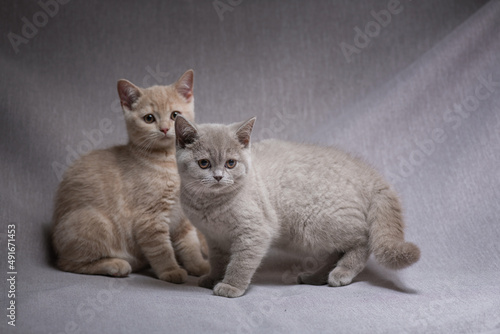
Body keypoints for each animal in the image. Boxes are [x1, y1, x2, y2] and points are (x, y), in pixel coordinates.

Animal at [53, 71, 210, 284]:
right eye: (149, 118)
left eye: (175, 115)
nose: (164, 128)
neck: (170, 163)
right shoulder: (149, 218)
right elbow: (161, 249)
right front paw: (171, 271)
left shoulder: (184, 218)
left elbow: (190, 244)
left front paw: (199, 266)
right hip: (96, 221)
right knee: (67, 264)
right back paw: (116, 265)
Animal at [174, 115, 420, 298]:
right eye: (203, 163)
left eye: (231, 163)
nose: (218, 177)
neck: (210, 205)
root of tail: (368, 173)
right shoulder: (214, 238)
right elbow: (218, 261)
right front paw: (212, 278)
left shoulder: (255, 231)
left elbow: (240, 263)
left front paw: (230, 286)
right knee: (337, 251)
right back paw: (315, 277)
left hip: (315, 225)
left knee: (363, 239)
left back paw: (342, 273)